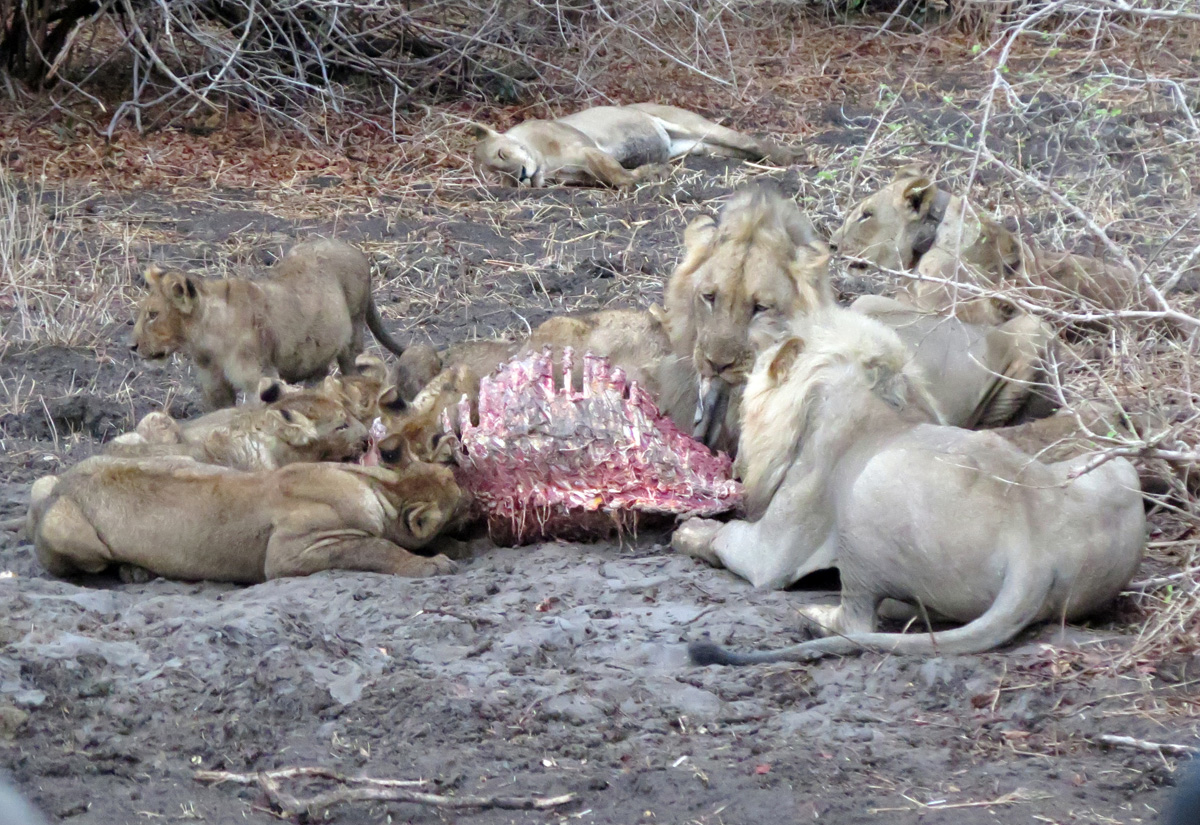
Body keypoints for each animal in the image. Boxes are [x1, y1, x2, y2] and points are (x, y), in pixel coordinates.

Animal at [27, 448, 463, 583]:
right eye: (458, 495)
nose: (460, 478)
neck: (382, 488)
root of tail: (62, 482)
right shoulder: (289, 552)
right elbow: (373, 548)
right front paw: (430, 564)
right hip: (69, 530)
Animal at [130, 238, 407, 409]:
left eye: (153, 314)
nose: (131, 347)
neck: (206, 338)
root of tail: (356, 250)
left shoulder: (260, 377)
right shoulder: (214, 385)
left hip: (353, 336)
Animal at [470, 103, 799, 188]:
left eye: (502, 153)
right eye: (501, 177)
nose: (520, 177)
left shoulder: (587, 149)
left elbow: (619, 176)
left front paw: (652, 174)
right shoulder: (583, 176)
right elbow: (612, 177)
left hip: (692, 125)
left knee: (747, 139)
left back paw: (791, 155)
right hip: (698, 146)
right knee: (737, 150)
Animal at [676, 307, 1145, 661]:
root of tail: (1036, 551)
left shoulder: (773, 552)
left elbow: (727, 539)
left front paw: (689, 531)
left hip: (867, 493)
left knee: (857, 619)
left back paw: (811, 618)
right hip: (1116, 467)